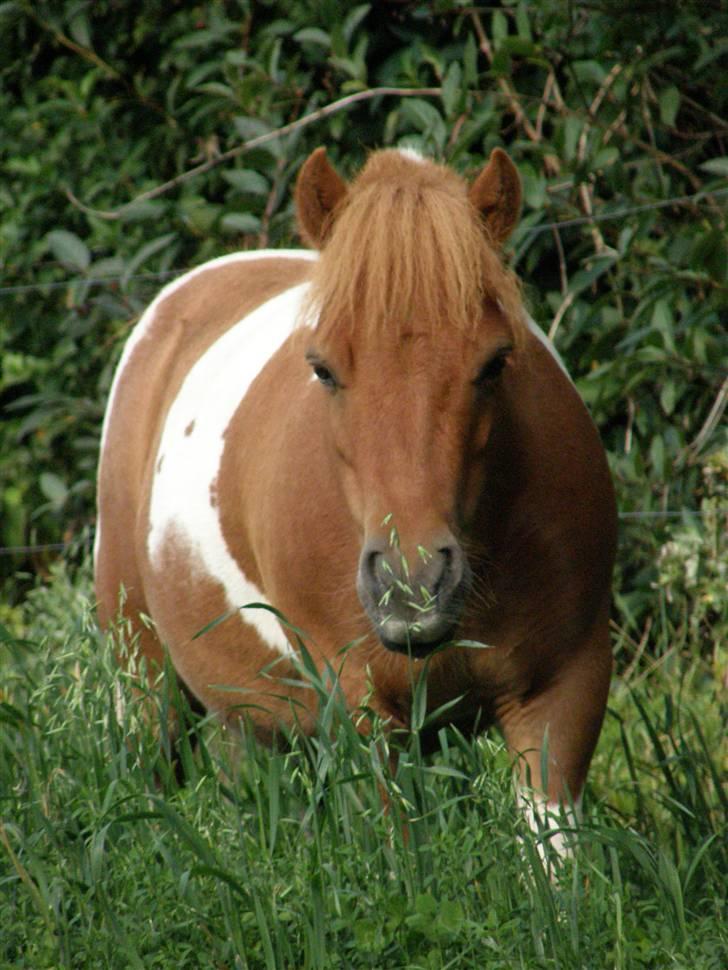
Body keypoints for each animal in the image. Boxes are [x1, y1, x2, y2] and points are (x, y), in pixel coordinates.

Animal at [95, 146, 616, 848]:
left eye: (495, 363)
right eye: (322, 369)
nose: (412, 586)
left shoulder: (565, 690)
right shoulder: (363, 712)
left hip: (245, 722)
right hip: (144, 686)